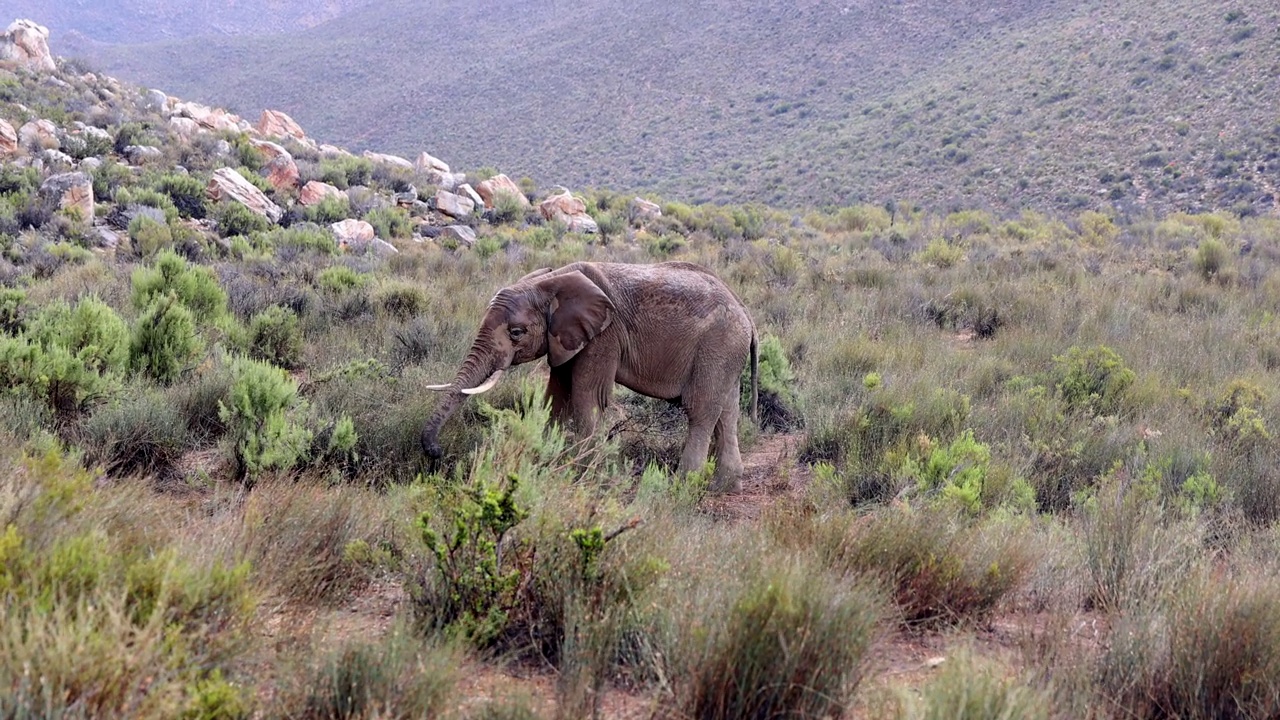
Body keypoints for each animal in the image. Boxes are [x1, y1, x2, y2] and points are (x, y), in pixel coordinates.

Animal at [419, 260, 757, 489]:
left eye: (516, 333)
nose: (437, 452)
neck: (550, 282)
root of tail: (745, 310)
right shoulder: (564, 338)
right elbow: (555, 398)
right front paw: (544, 461)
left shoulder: (604, 336)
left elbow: (587, 398)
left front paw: (582, 475)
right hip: (726, 353)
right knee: (727, 412)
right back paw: (722, 487)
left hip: (718, 346)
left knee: (700, 411)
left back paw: (681, 486)